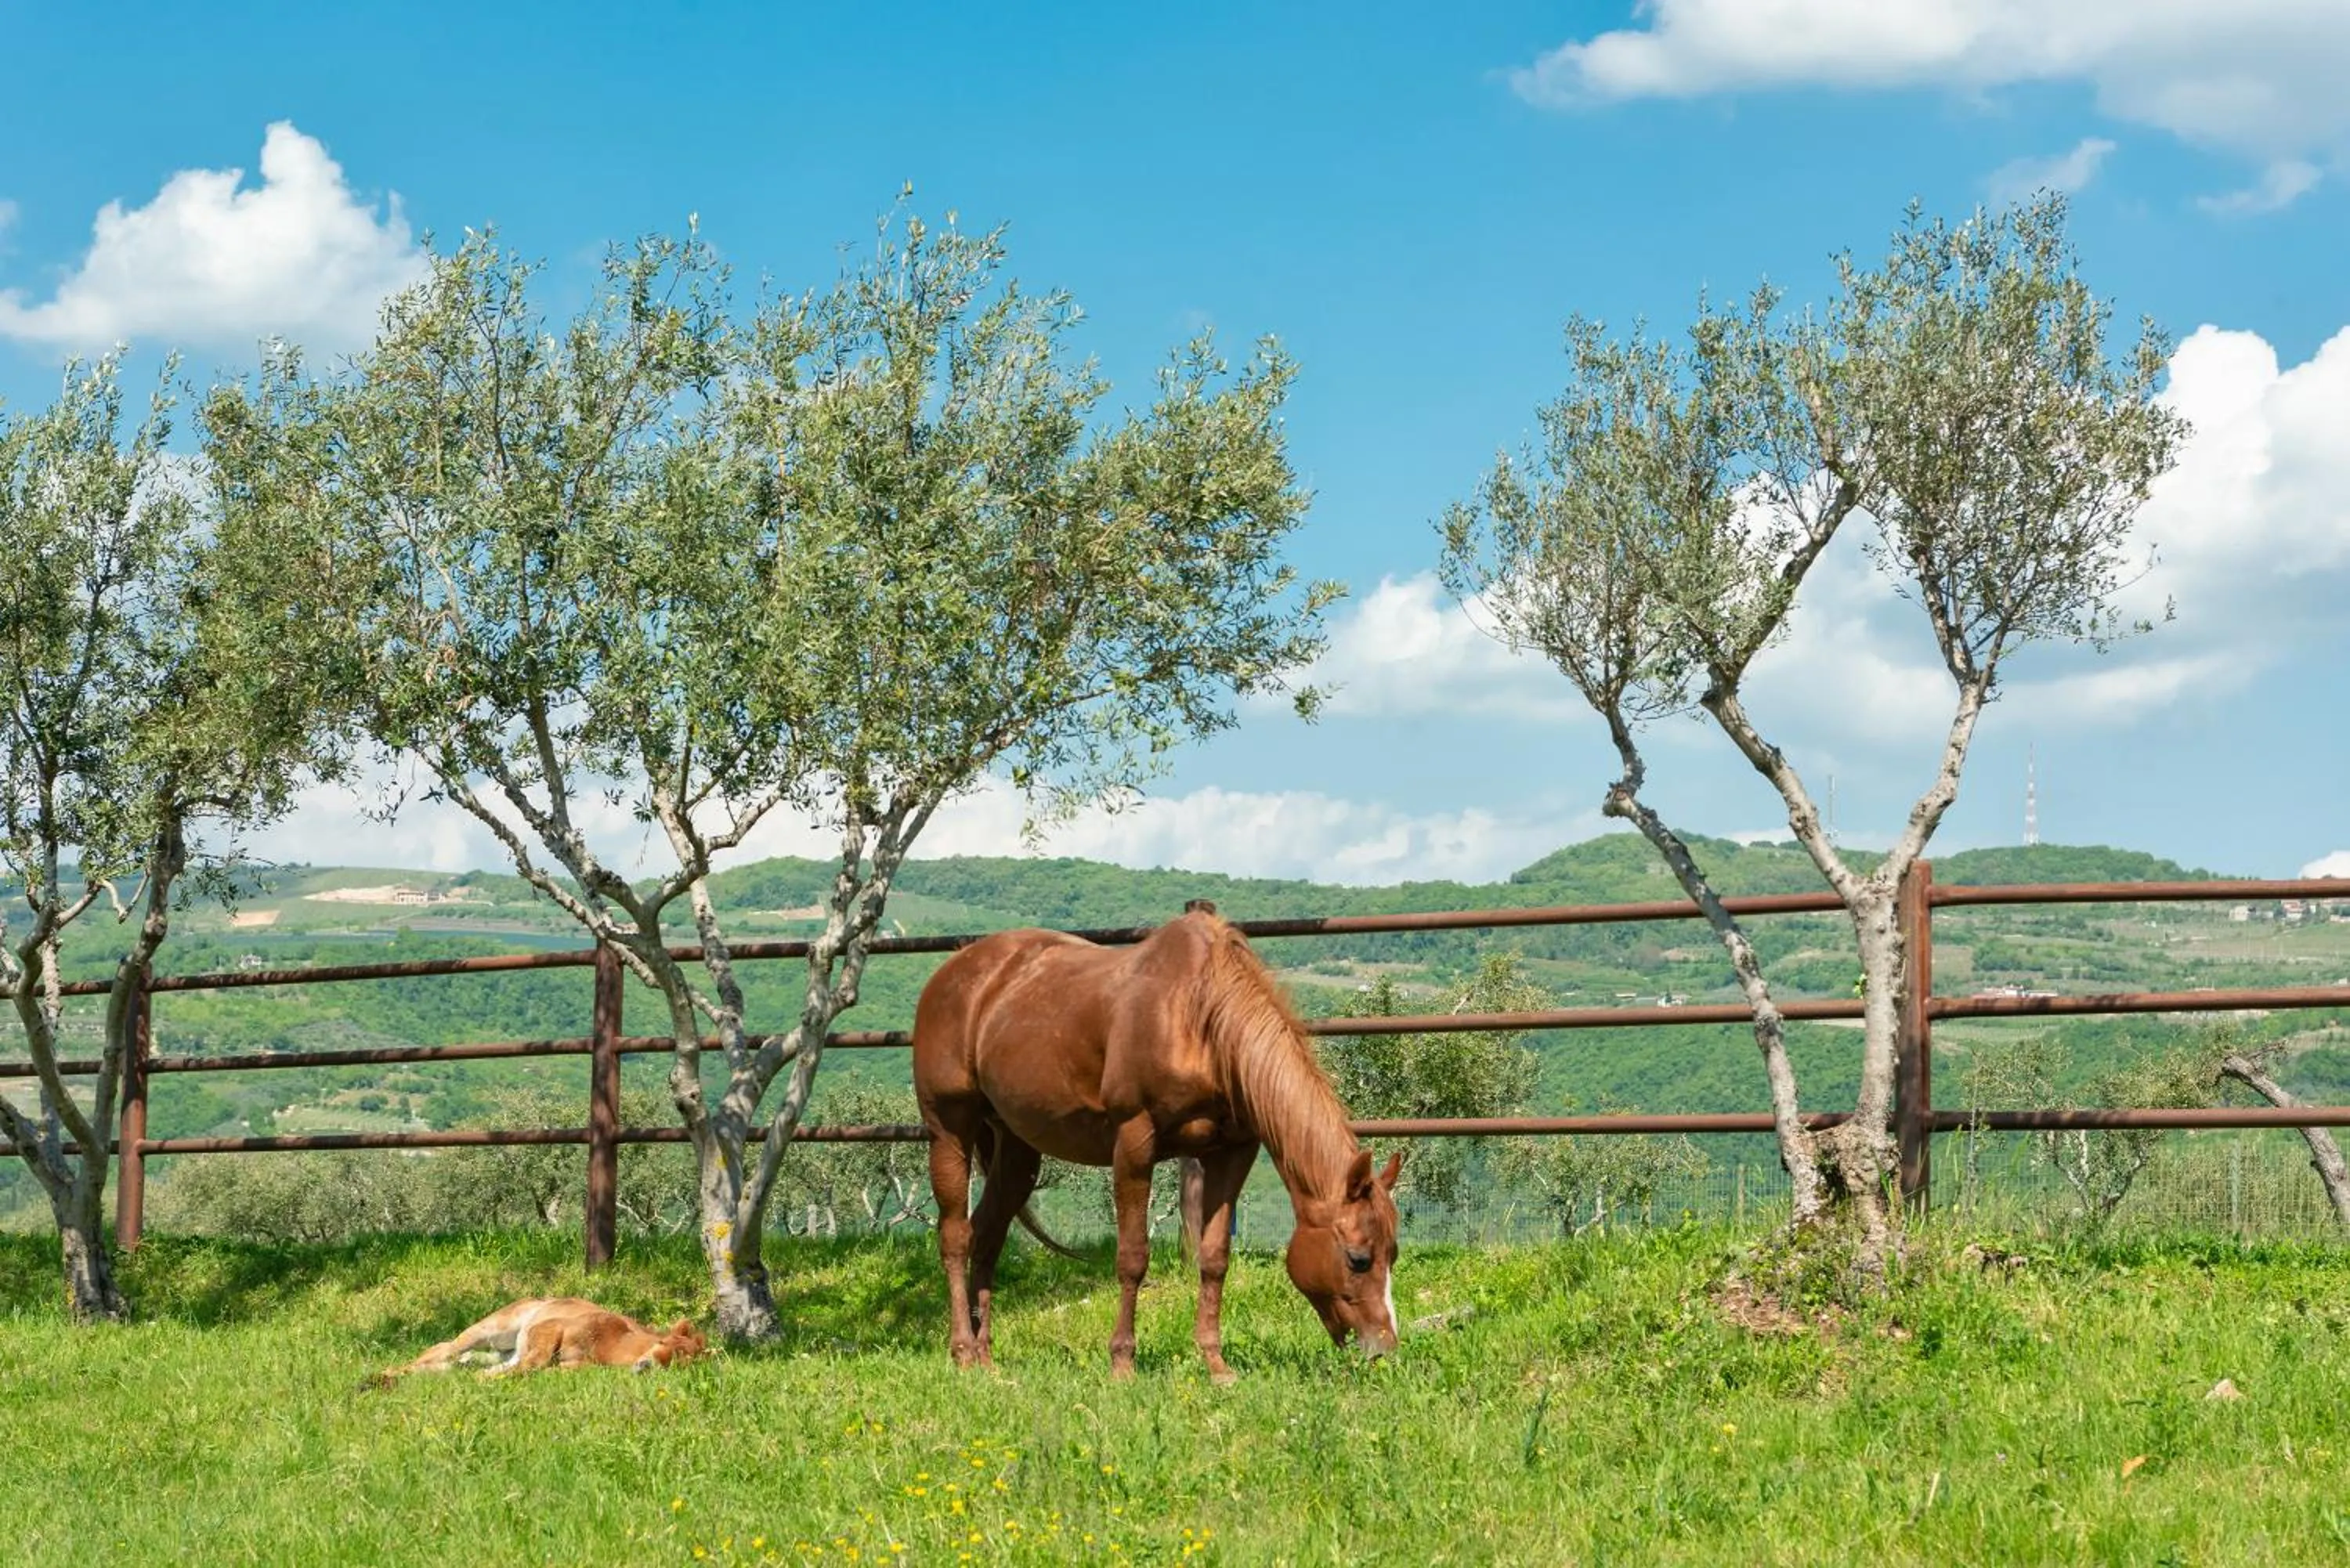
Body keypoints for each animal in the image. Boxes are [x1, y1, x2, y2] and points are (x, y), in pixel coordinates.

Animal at [913, 905, 1402, 1381]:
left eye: (1393, 1254)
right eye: (1359, 1259)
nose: (1384, 1349)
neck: (1199, 1017)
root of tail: (954, 972)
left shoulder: (1233, 1151)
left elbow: (1214, 1258)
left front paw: (1216, 1364)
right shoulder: (1134, 1142)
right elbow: (1133, 1257)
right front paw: (1122, 1363)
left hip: (1016, 1148)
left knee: (988, 1235)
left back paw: (985, 1358)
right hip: (949, 1130)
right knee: (956, 1236)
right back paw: (962, 1351)